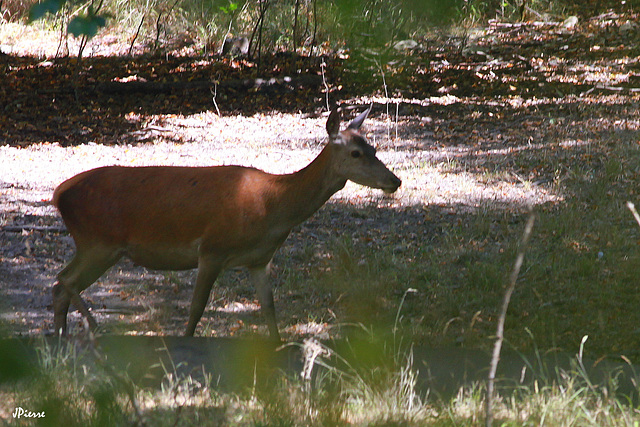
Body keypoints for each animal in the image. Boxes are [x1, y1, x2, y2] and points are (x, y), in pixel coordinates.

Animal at [52, 107, 400, 342]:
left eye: (374, 148)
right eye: (355, 153)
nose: (394, 181)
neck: (272, 207)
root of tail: (59, 194)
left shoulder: (259, 259)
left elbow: (269, 308)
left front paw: (277, 344)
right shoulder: (212, 248)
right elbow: (196, 308)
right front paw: (186, 341)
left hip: (94, 244)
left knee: (60, 283)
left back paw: (60, 336)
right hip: (100, 241)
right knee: (65, 280)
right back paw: (94, 328)